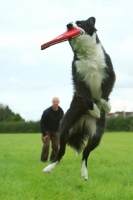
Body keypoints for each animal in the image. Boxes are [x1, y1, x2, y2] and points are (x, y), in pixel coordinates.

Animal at [42, 16, 115, 180]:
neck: (87, 54)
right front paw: (95, 110)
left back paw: (84, 173)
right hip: (65, 127)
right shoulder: (78, 78)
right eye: (68, 25)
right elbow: (87, 98)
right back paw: (49, 168)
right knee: (61, 152)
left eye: (80, 23)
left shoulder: (109, 72)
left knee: (86, 153)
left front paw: (105, 107)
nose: (69, 25)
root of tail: (84, 123)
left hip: (97, 134)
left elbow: (104, 95)